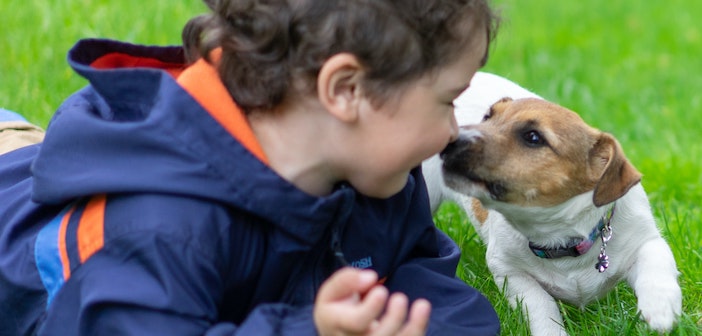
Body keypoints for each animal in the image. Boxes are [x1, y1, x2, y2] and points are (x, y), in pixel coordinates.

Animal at [424, 73, 680, 336]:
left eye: (533, 137)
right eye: (487, 118)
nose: (450, 141)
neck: (558, 237)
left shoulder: (644, 239)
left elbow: (655, 261)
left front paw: (660, 309)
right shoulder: (510, 272)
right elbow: (541, 307)